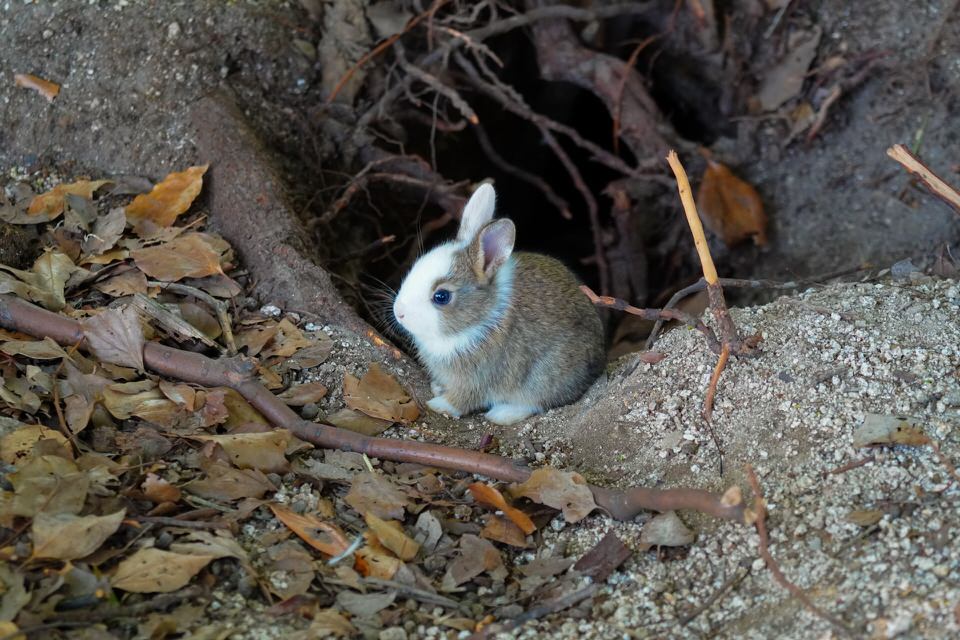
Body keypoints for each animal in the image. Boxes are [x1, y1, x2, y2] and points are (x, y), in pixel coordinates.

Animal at [388, 182, 600, 422]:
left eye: (441, 296)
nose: (399, 312)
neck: (480, 317)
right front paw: (438, 388)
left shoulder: (479, 375)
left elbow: (464, 398)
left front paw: (440, 405)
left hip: (545, 378)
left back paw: (502, 414)